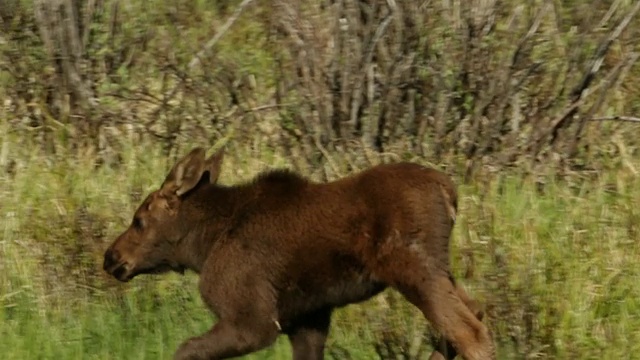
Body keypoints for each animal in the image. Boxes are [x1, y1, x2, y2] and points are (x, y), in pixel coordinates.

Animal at [104, 146, 496, 360]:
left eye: (139, 220)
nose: (111, 257)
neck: (203, 244)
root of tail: (450, 192)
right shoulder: (308, 320)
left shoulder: (253, 320)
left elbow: (185, 348)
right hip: (439, 268)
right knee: (473, 312)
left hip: (412, 266)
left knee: (470, 332)